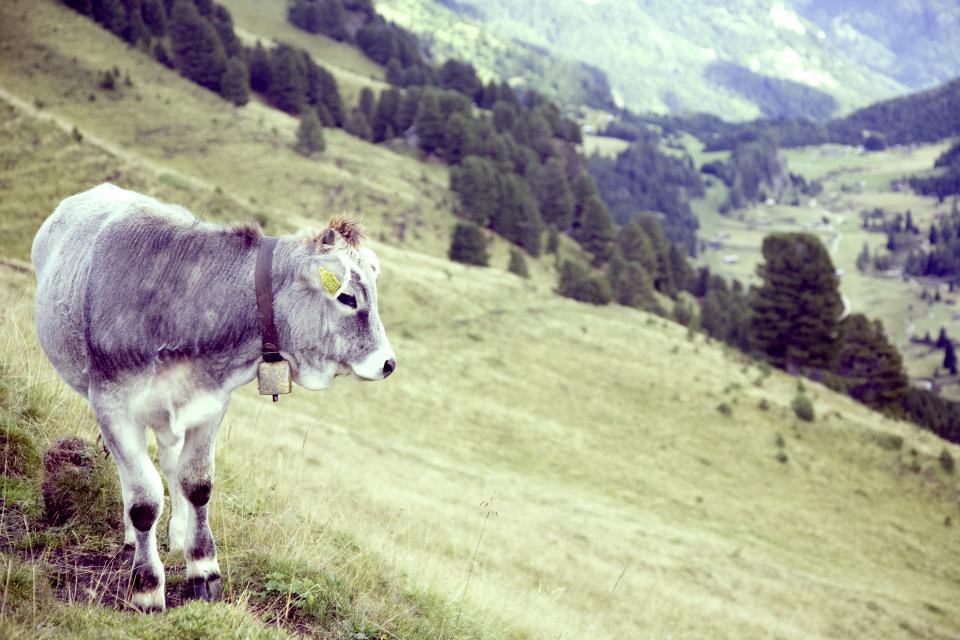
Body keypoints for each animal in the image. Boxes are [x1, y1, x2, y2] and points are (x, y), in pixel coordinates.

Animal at [31, 183, 396, 612]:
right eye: (348, 298)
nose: (388, 363)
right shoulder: (112, 406)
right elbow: (143, 501)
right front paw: (147, 587)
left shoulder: (210, 405)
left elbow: (197, 483)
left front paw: (203, 567)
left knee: (169, 464)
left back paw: (177, 532)